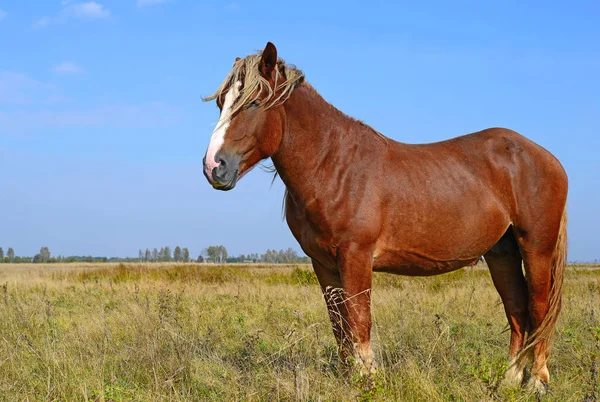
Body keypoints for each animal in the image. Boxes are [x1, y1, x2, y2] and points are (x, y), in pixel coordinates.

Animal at [200, 42, 568, 392]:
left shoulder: (356, 256)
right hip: (502, 252)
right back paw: (509, 379)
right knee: (517, 309)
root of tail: (548, 158)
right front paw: (350, 379)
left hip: (535, 248)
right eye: (221, 102)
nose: (214, 166)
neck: (333, 164)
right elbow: (340, 326)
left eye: (253, 103)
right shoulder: (323, 264)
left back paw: (536, 382)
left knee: (539, 309)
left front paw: (369, 379)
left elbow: (360, 321)